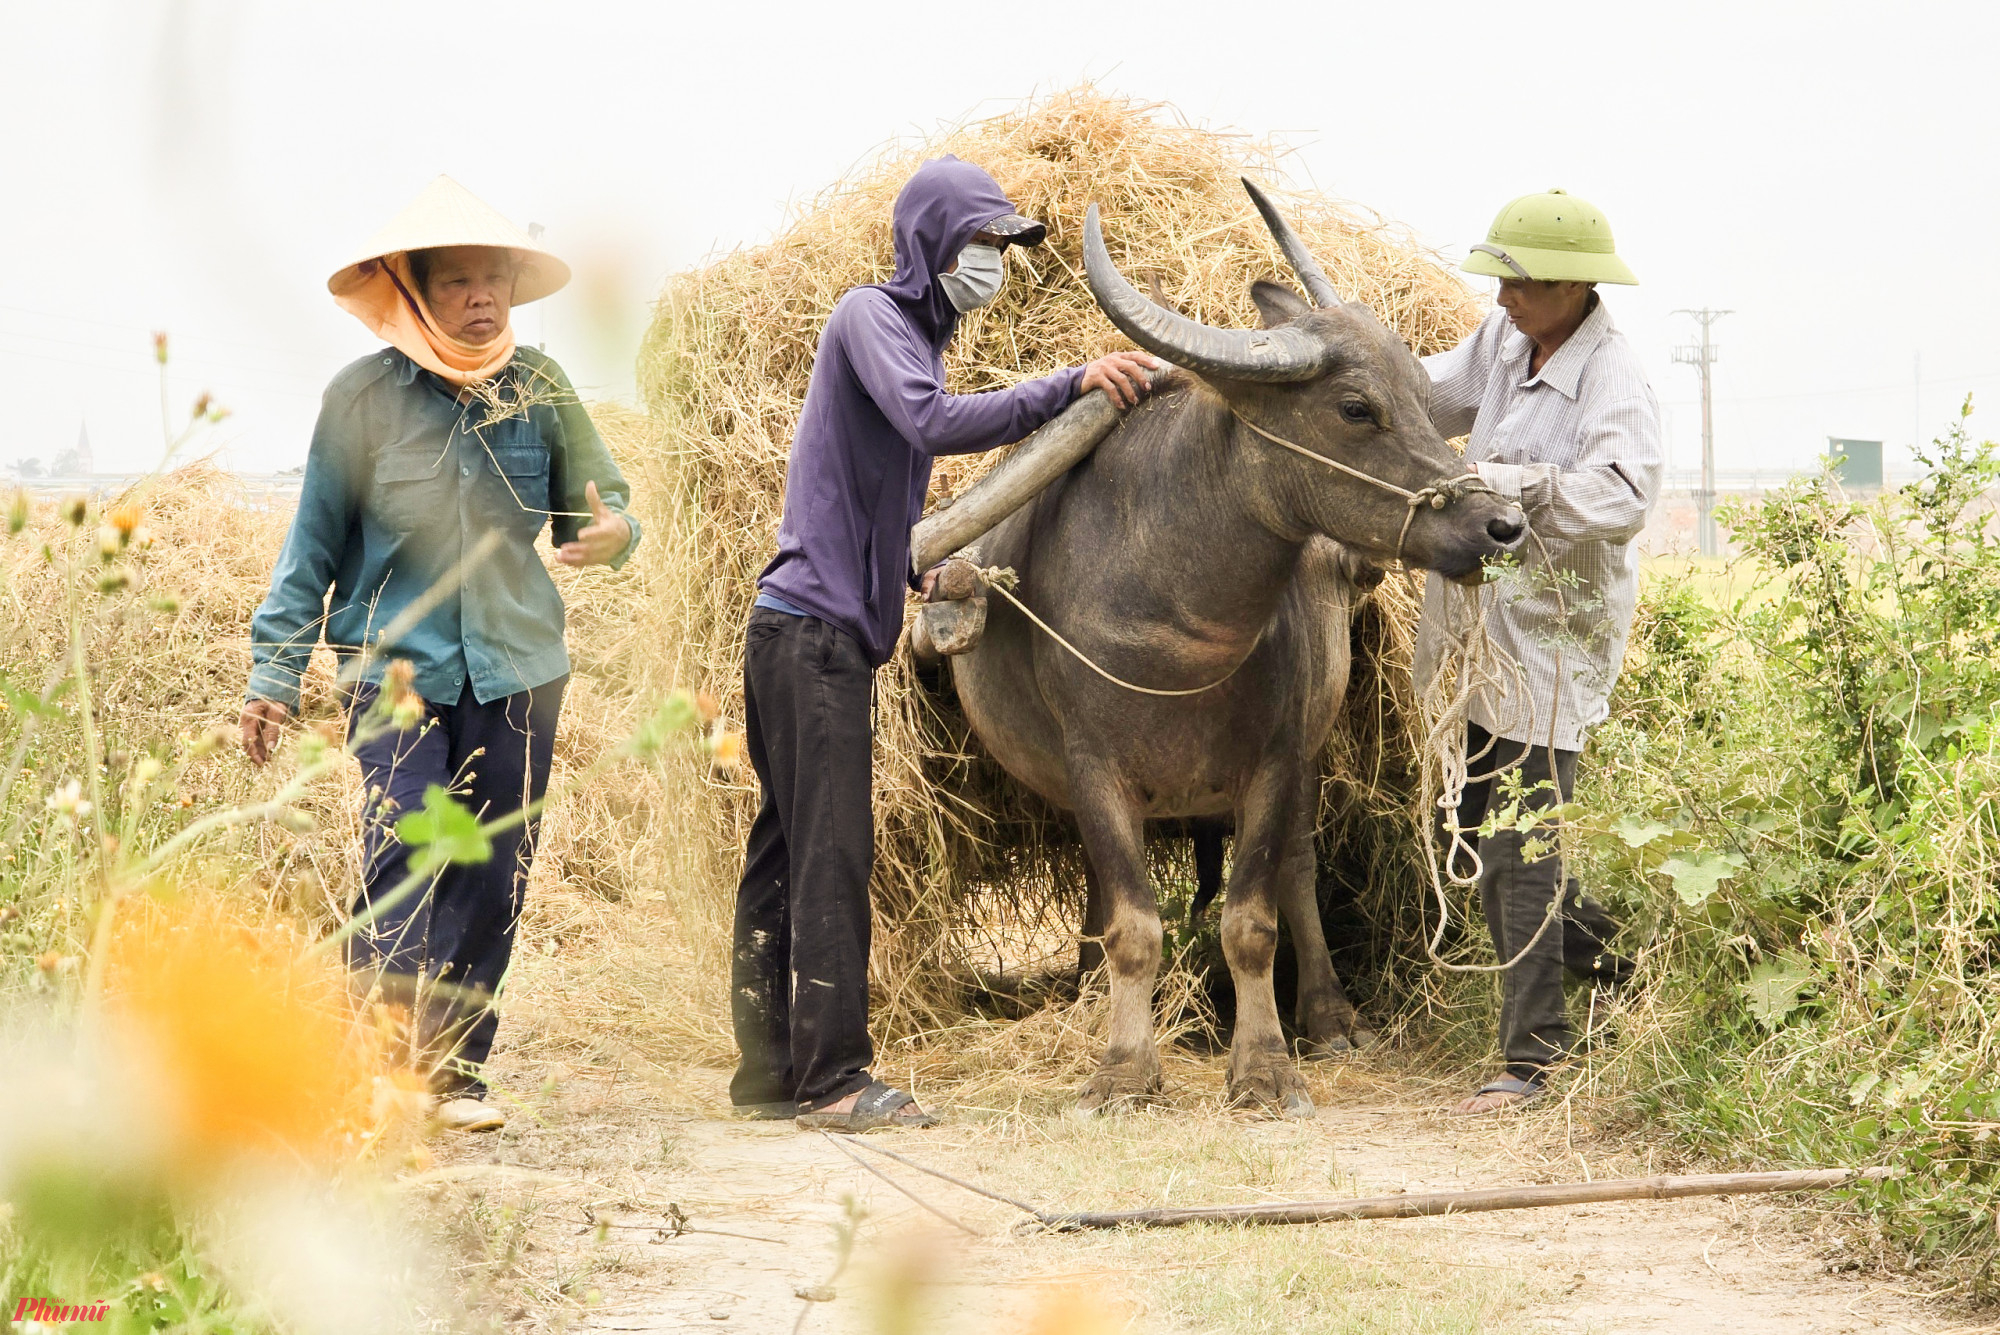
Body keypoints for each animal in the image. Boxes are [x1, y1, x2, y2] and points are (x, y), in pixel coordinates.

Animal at [944, 179, 1520, 1119]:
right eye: (1356, 407)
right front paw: (1122, 1067)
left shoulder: (1278, 761)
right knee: (1103, 891)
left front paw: (1265, 1068)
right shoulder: (1093, 765)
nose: (1501, 523)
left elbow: (1252, 918)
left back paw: (1328, 1017)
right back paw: (1082, 988)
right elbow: (1133, 923)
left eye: (1422, 396)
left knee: (1298, 870)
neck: (1177, 621)